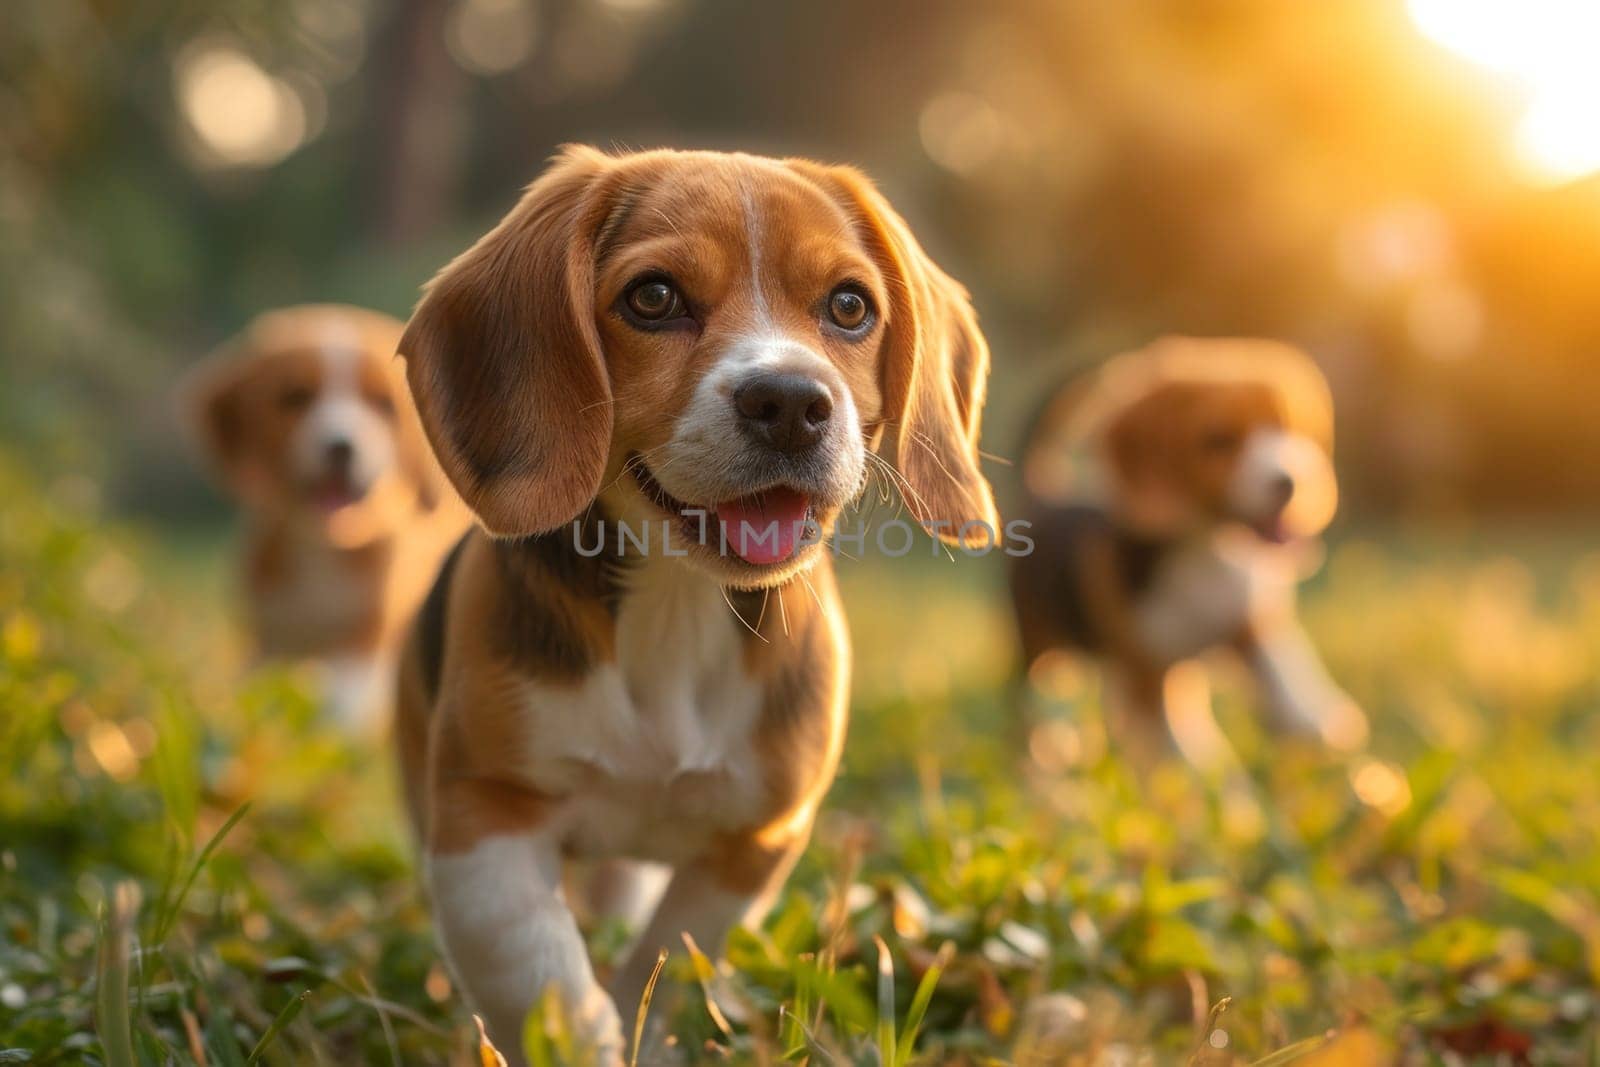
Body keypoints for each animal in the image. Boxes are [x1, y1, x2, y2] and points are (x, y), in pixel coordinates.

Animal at [185, 303, 467, 729]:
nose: (340, 447)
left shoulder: (363, 640)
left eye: (382, 403)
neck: (323, 548)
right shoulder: (271, 637)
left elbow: (339, 702)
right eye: (296, 397)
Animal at [393, 146, 992, 1062]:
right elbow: (524, 952)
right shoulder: (481, 808)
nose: (791, 402)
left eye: (849, 306)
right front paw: (582, 1032)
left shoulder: (758, 836)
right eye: (653, 297)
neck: (677, 601)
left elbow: (672, 955)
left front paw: (646, 1025)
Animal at [1011, 337, 1363, 764]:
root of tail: (1044, 495)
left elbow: (1281, 664)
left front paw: (1310, 718)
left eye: (1283, 427)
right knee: (1037, 716)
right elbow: (1179, 748)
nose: (1289, 483)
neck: (1204, 550)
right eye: (1218, 440)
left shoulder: (1245, 621)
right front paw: (1210, 775)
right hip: (1039, 650)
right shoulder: (1149, 673)